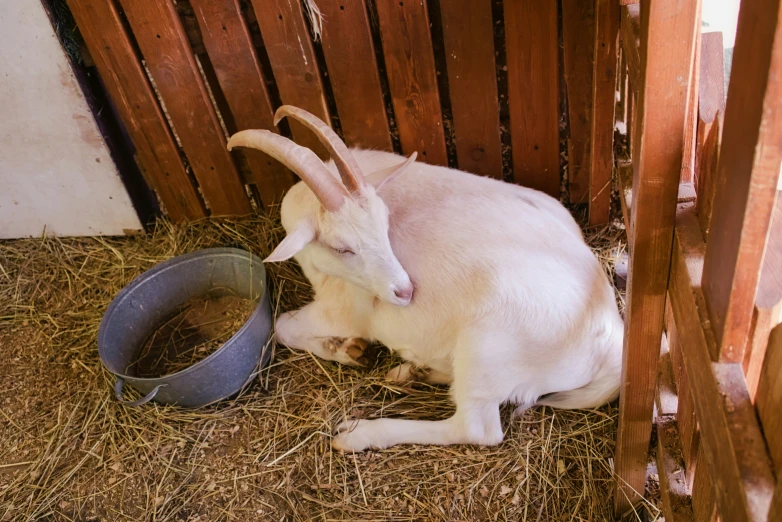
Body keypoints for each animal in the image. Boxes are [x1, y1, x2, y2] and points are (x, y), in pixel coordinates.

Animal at [227, 105, 624, 450]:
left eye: (385, 225)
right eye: (343, 248)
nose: (404, 292)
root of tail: (610, 342)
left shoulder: (344, 308)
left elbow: (281, 326)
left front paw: (348, 349)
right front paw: (351, 350)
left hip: (487, 347)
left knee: (474, 428)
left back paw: (359, 433)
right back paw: (411, 373)